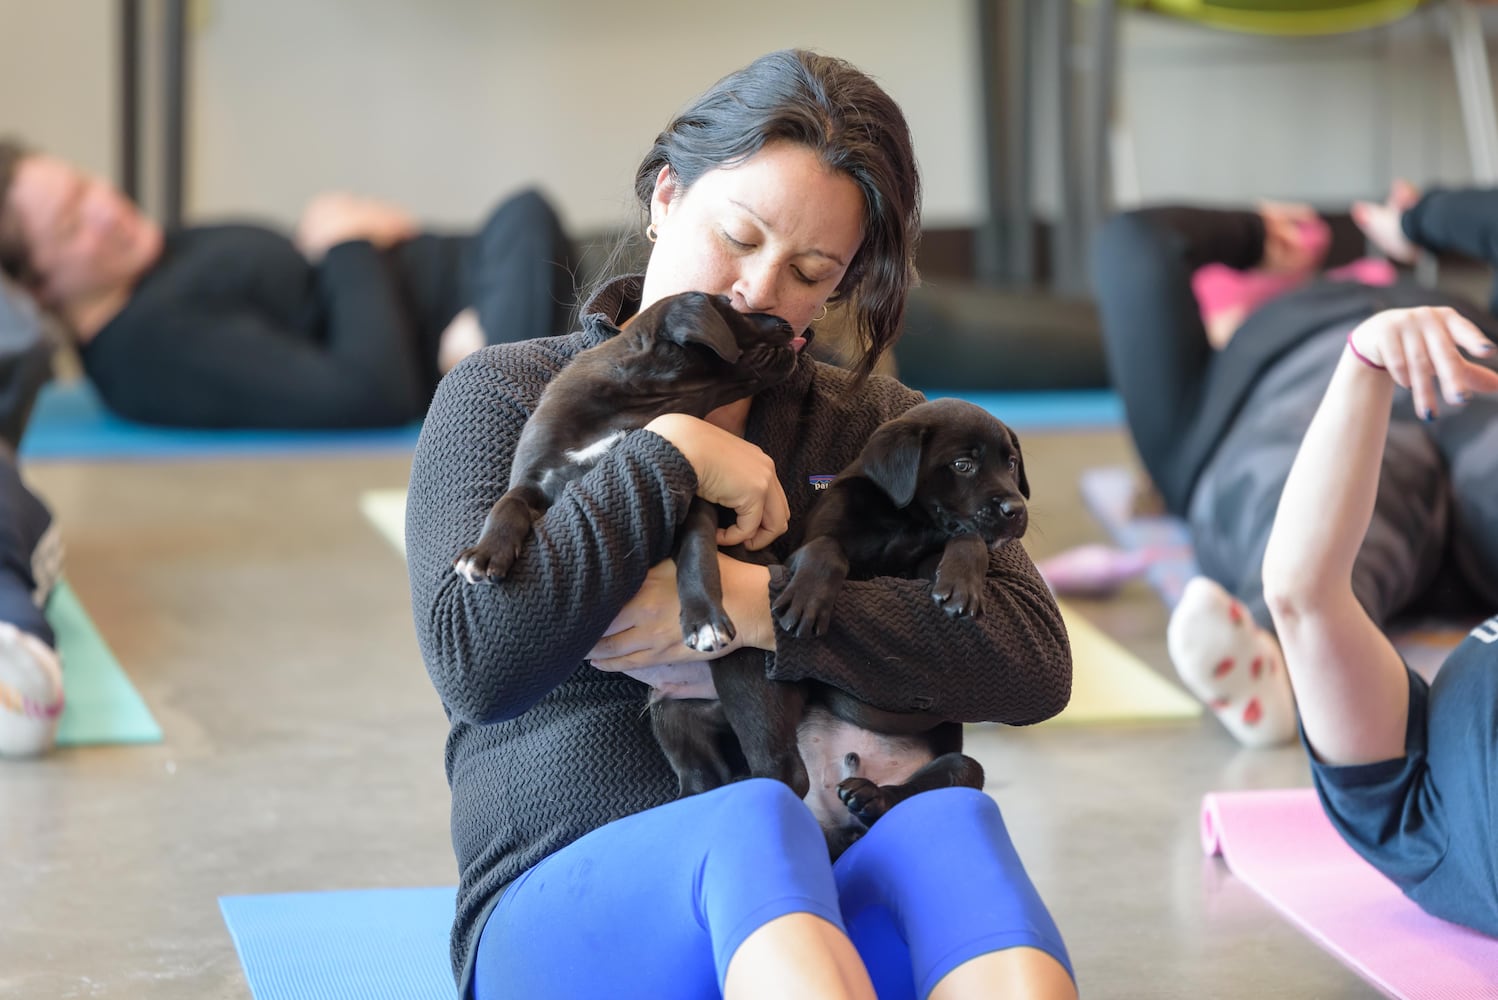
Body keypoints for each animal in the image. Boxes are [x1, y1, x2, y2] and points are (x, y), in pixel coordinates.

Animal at [452, 290, 802, 664]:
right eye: (732, 306)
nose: (786, 322)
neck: (634, 403)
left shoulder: (690, 502)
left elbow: (698, 554)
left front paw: (705, 619)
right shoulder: (536, 480)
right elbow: (507, 504)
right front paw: (484, 552)